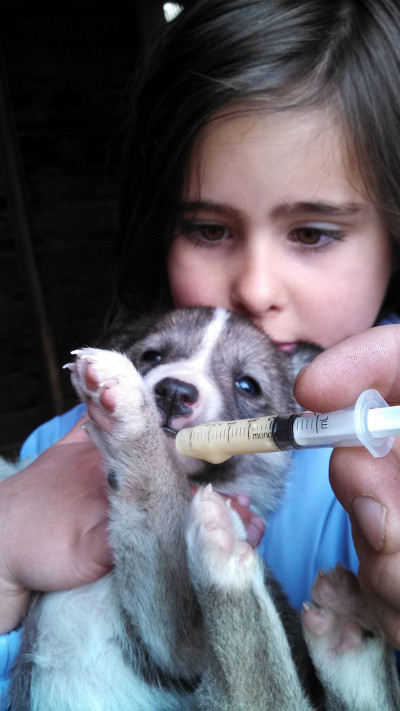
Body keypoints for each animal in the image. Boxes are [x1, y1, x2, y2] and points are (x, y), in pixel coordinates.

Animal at [7, 308, 400, 711]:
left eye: (247, 385)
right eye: (152, 355)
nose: (174, 393)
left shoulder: (182, 646)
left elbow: (158, 488)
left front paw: (134, 414)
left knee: (259, 684)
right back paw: (347, 633)